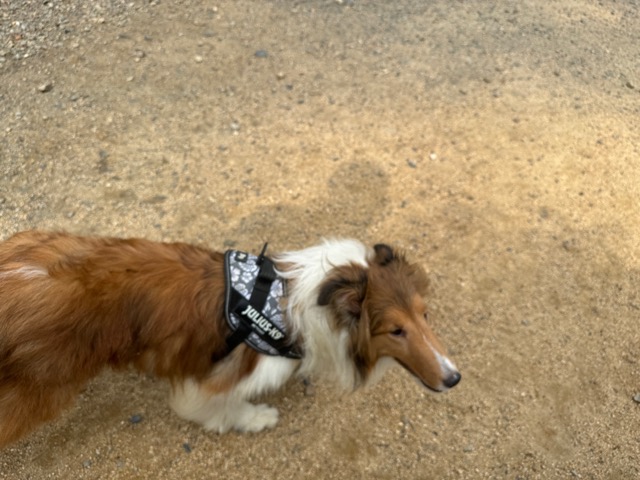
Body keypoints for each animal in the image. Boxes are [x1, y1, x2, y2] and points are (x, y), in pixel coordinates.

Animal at [0, 230, 460, 447]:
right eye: (395, 330)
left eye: (424, 314)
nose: (453, 378)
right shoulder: (218, 378)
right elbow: (215, 406)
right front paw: (255, 418)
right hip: (36, 391)